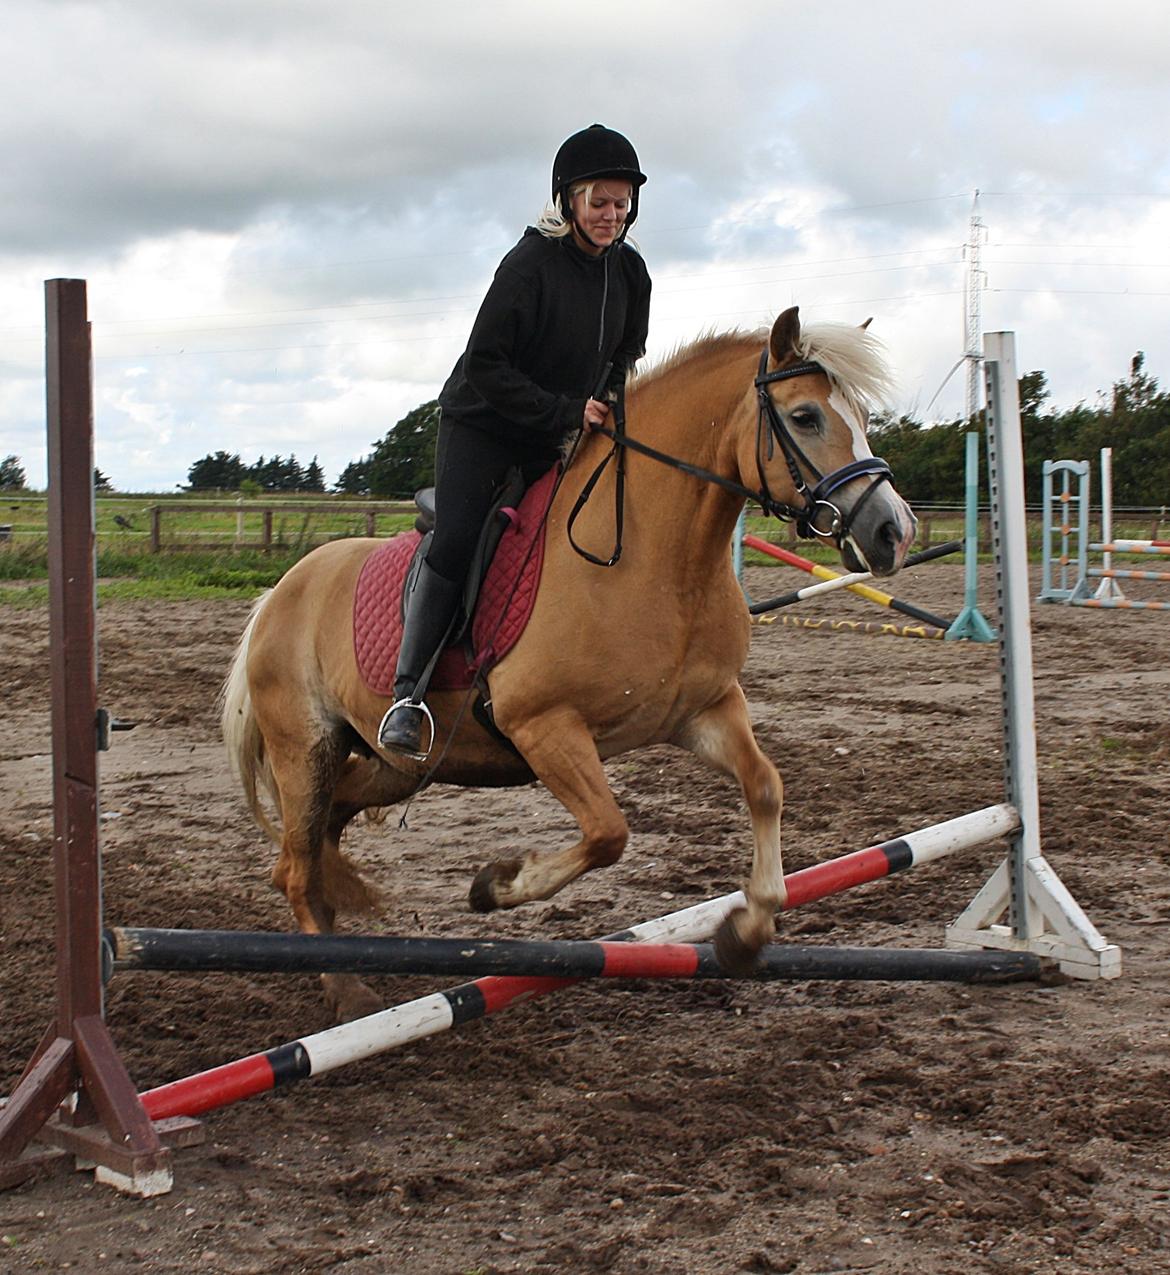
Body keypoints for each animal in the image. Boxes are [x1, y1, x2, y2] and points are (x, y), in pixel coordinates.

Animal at [219, 303, 917, 1020]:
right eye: (806, 416)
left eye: (862, 414)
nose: (894, 531)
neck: (653, 558)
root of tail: (281, 591)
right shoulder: (544, 726)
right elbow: (609, 831)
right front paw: (496, 884)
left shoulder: (705, 710)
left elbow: (765, 786)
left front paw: (747, 931)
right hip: (307, 751)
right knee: (297, 868)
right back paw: (347, 988)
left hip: (397, 765)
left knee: (321, 838)